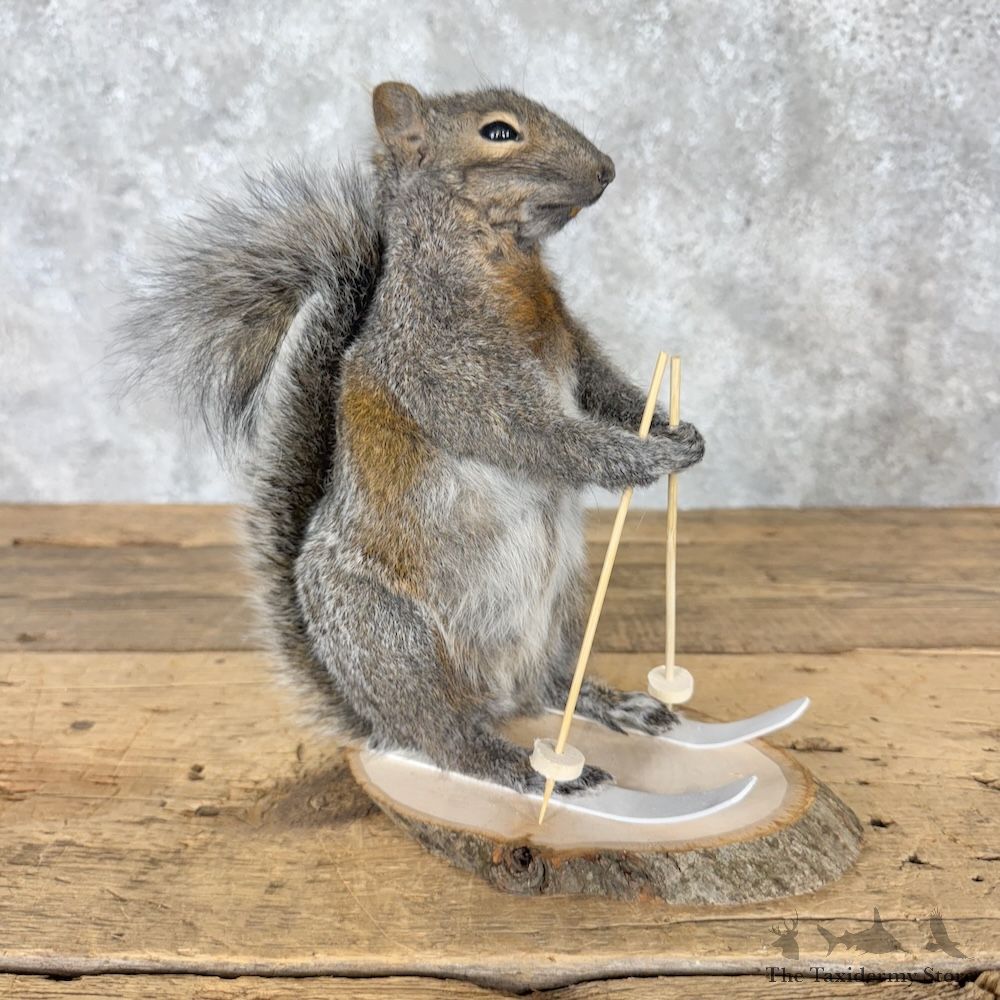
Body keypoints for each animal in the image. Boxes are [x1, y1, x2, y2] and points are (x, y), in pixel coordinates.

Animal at [122, 82, 705, 794]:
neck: (503, 263)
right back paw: (525, 768)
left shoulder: (573, 345)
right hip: (396, 643)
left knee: (548, 687)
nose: (607, 170)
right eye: (499, 132)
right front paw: (645, 456)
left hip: (563, 608)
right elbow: (536, 437)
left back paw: (614, 705)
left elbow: (603, 388)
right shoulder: (441, 369)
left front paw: (674, 426)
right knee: (448, 741)